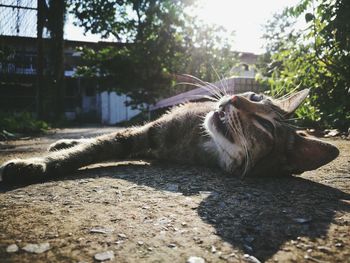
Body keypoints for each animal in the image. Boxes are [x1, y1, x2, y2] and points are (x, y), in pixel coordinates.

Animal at [0, 88, 340, 184]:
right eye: (255, 96)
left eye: (266, 127)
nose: (233, 98)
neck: (203, 144)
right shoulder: (146, 133)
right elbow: (94, 146)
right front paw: (38, 162)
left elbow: (95, 147)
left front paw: (32, 165)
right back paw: (63, 140)